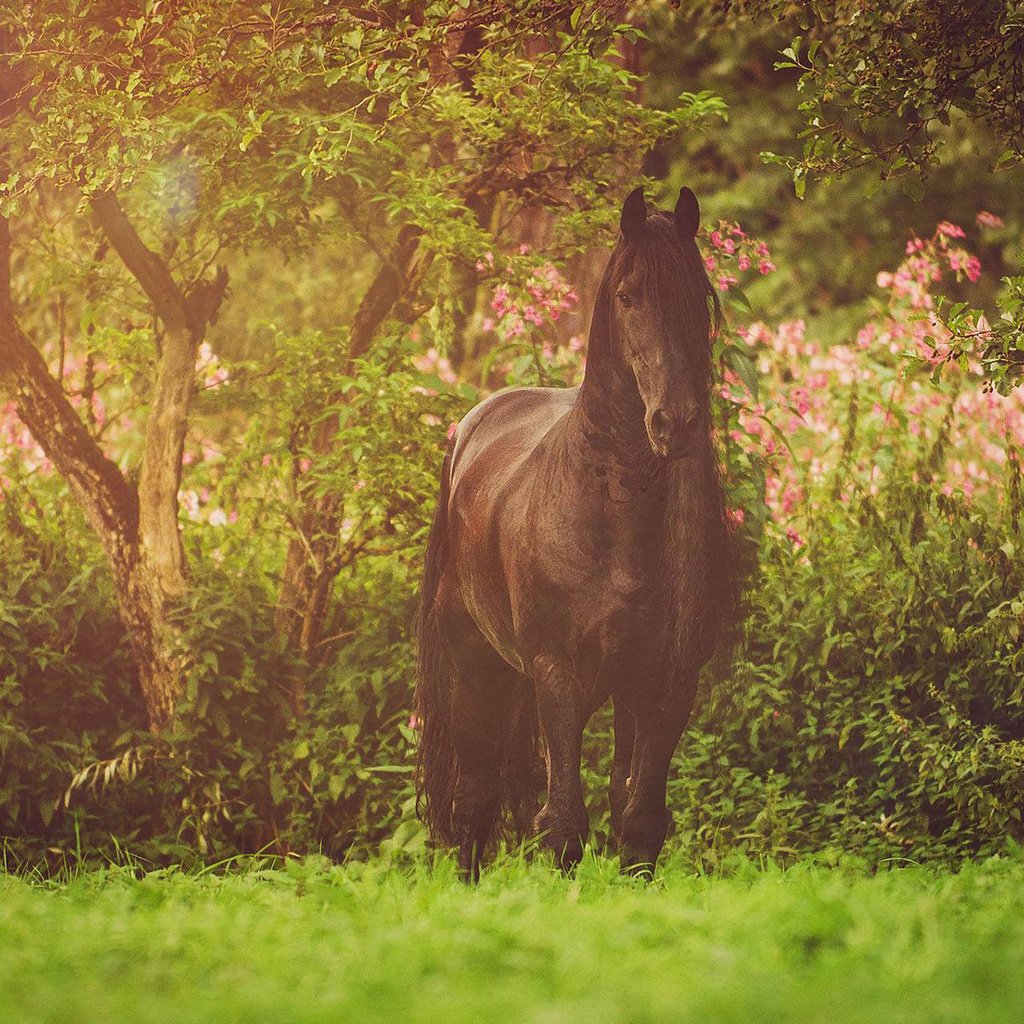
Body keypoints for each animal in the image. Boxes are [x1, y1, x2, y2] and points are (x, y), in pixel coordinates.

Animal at [411, 188, 741, 876]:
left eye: (698, 294)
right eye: (627, 295)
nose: (676, 422)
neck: (616, 510)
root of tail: (472, 428)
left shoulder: (667, 684)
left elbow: (638, 821)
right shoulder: (558, 677)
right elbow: (564, 823)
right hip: (476, 672)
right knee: (472, 802)